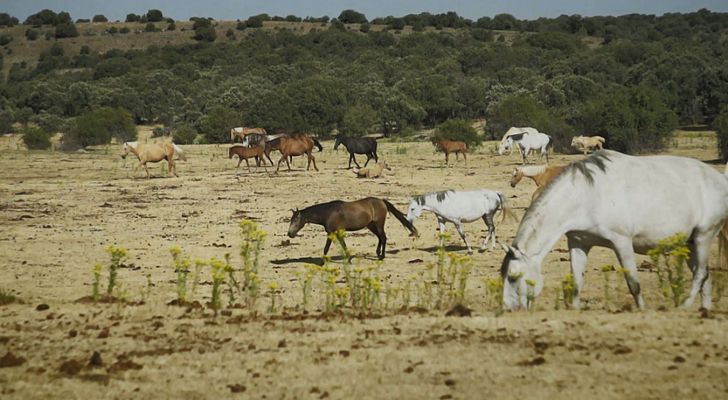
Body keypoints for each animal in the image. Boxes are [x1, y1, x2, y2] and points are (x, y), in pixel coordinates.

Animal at [288, 197, 418, 260]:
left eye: (295, 221)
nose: (290, 234)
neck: (328, 213)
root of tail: (382, 201)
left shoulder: (334, 232)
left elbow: (331, 248)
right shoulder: (334, 233)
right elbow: (332, 248)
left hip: (379, 224)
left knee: (384, 238)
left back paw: (382, 256)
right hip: (371, 225)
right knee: (380, 238)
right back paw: (378, 253)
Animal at [498, 148, 728, 310]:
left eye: (513, 277)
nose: (508, 309)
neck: (585, 195)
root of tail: (720, 179)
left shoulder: (622, 242)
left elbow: (633, 283)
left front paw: (641, 310)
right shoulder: (578, 243)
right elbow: (577, 282)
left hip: (704, 236)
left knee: (700, 275)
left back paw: (684, 306)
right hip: (690, 243)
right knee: (704, 275)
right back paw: (703, 311)